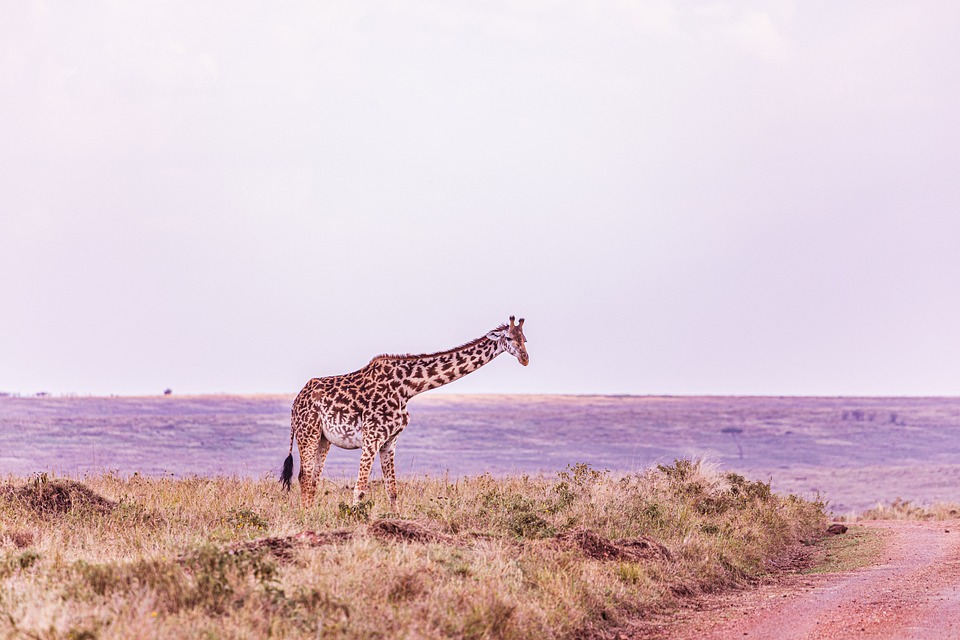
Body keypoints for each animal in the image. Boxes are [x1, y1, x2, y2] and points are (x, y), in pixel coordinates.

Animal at [278, 316, 532, 510]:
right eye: (508, 338)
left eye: (525, 339)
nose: (525, 358)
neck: (408, 387)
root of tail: (295, 402)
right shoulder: (372, 437)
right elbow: (360, 489)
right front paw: (354, 518)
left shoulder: (389, 441)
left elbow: (392, 490)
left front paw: (395, 519)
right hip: (308, 433)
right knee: (304, 477)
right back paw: (306, 516)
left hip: (324, 439)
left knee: (312, 479)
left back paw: (311, 513)